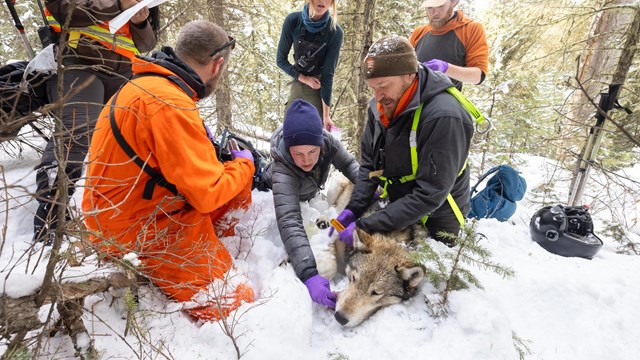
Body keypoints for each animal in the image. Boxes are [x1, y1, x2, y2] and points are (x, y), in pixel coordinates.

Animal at [320, 173, 424, 328]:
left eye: (376, 293)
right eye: (353, 278)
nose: (339, 318)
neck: (392, 237)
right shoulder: (337, 238)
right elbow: (329, 267)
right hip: (335, 188)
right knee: (329, 208)